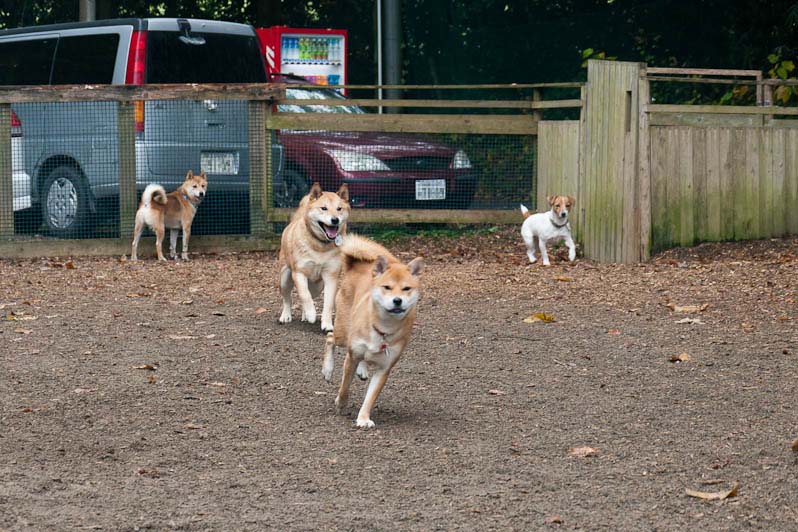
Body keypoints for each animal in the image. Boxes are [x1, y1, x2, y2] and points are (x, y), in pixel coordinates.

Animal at [280, 183, 352, 332]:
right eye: (324, 208)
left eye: (339, 209)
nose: (335, 220)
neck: (320, 246)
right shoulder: (299, 273)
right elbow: (304, 295)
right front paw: (312, 314)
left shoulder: (331, 276)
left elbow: (328, 303)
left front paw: (327, 324)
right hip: (284, 278)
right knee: (287, 298)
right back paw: (286, 316)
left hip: (317, 286)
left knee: (311, 294)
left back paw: (304, 315)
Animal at [324, 235, 428, 430]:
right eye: (387, 287)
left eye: (406, 288)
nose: (397, 301)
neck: (384, 328)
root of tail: (356, 264)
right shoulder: (351, 356)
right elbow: (345, 386)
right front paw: (341, 404)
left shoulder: (384, 369)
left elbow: (370, 397)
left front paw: (363, 418)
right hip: (343, 332)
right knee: (330, 338)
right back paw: (327, 369)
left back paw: (362, 370)